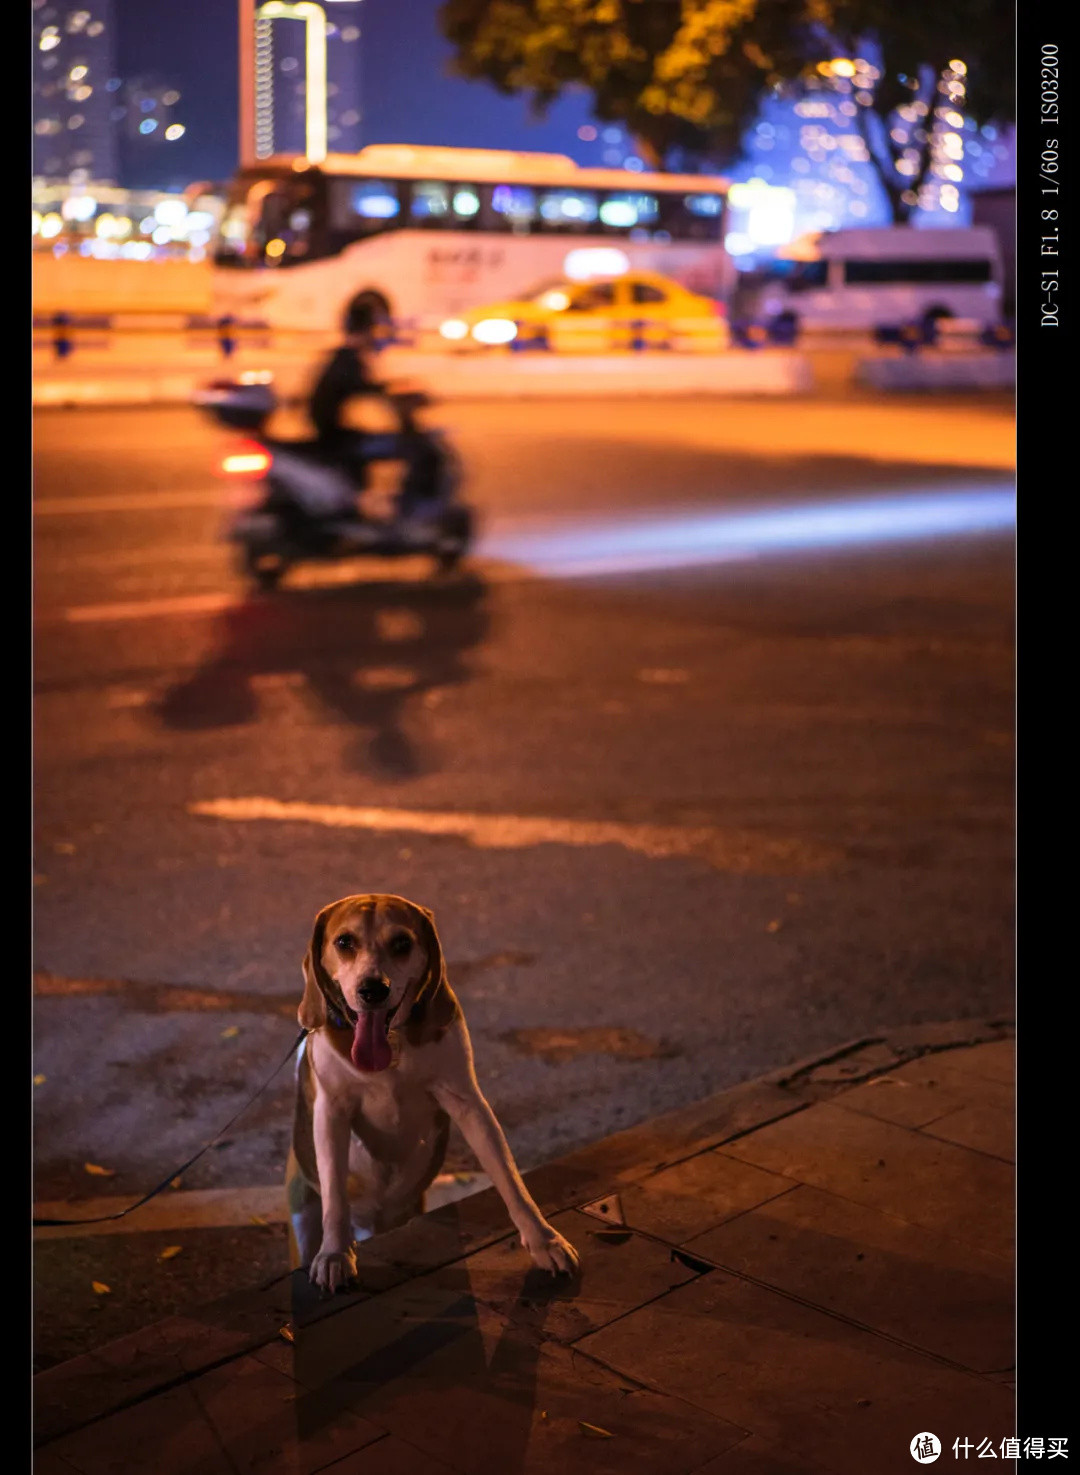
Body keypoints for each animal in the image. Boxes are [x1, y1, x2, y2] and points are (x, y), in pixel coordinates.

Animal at [283, 885, 578, 1292]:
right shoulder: (332, 1113)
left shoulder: (468, 1102)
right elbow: (335, 1196)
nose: (373, 989)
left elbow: (510, 1178)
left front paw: (544, 1240)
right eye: (344, 942)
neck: (391, 1045)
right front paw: (334, 1254)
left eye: (401, 943)